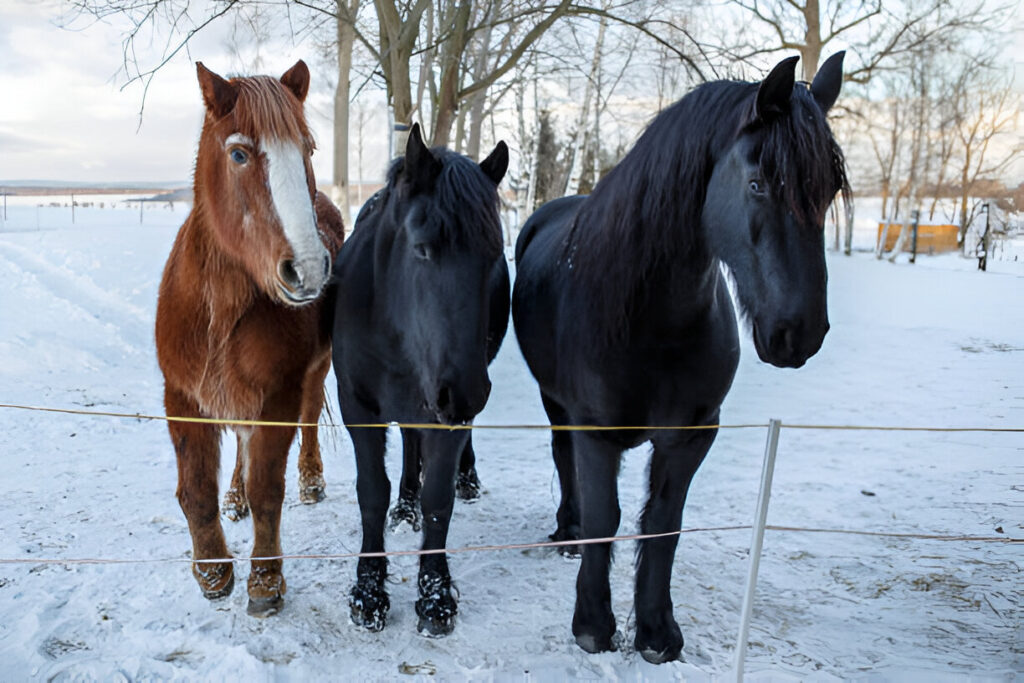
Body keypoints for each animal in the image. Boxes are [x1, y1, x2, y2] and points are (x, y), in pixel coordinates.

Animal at [152, 58, 344, 618]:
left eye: (308, 149)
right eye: (238, 154)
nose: (308, 269)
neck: (220, 308)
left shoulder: (278, 394)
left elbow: (267, 488)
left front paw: (265, 581)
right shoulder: (182, 396)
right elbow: (196, 488)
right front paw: (213, 572)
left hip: (315, 373)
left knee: (307, 423)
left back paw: (311, 480)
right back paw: (232, 499)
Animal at [331, 124, 507, 643]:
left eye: (495, 255)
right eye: (423, 248)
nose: (467, 392)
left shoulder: (445, 412)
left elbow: (439, 500)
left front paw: (435, 595)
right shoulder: (358, 407)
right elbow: (372, 491)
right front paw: (368, 593)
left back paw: (466, 479)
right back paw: (404, 508)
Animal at [512, 53, 847, 663]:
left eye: (830, 189)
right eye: (758, 183)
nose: (799, 333)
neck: (652, 322)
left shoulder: (691, 435)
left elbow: (663, 522)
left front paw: (656, 632)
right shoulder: (595, 430)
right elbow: (607, 514)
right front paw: (593, 624)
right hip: (556, 403)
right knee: (562, 458)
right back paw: (568, 535)